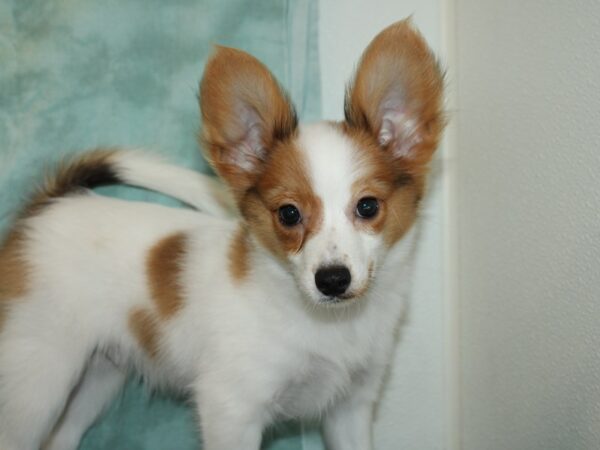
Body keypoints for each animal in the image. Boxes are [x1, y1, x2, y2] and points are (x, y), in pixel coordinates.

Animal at [0, 18, 446, 450]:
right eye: (288, 214)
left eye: (368, 207)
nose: (332, 280)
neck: (327, 323)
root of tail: (51, 204)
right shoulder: (231, 410)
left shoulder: (349, 408)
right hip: (36, 384)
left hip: (94, 378)